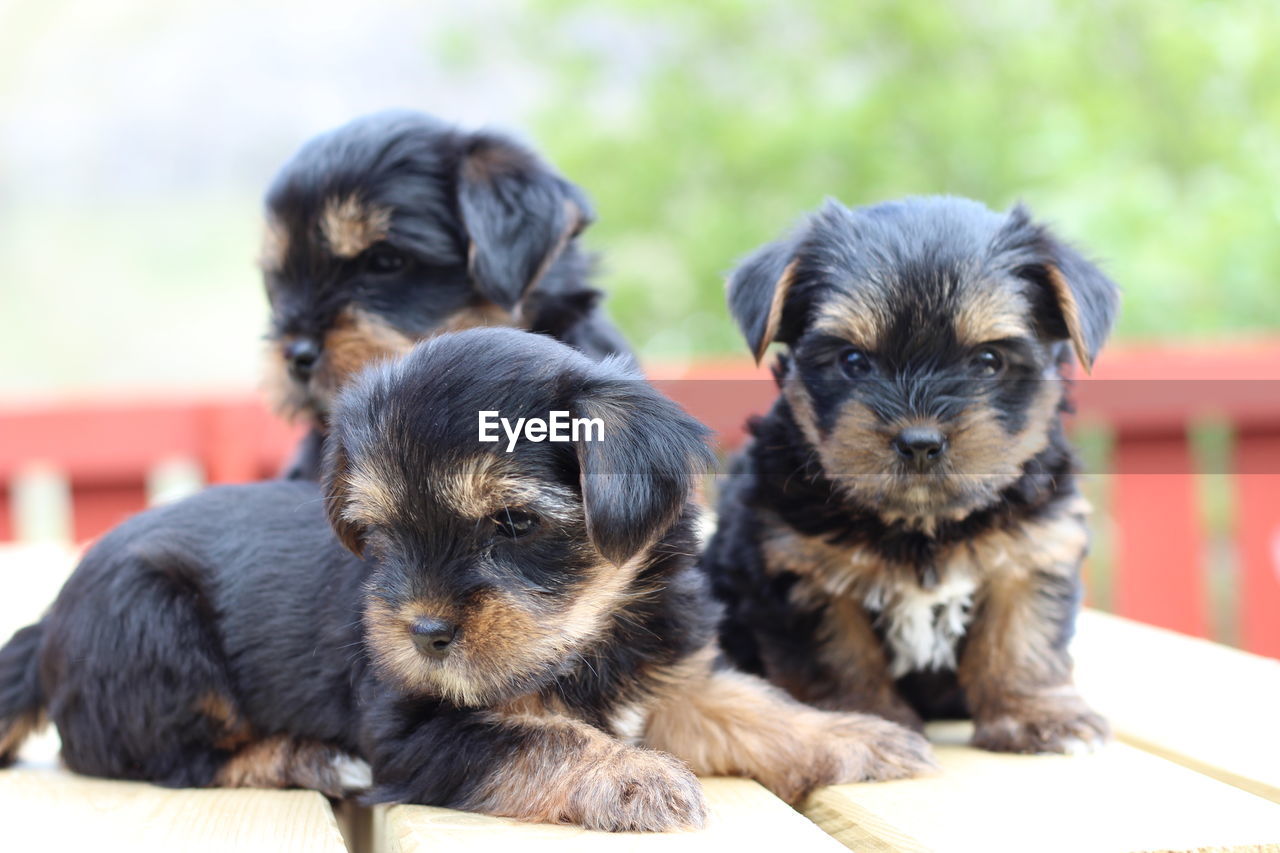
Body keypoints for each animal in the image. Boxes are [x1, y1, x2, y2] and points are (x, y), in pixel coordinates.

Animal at [2, 325, 942, 829]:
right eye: (378, 534)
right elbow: (539, 735)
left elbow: (751, 704)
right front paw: (627, 774)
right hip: (152, 626)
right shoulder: (417, 725)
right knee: (164, 754)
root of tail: (50, 622)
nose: (424, 633)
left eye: (514, 523)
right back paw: (309, 757)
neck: (587, 638)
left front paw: (853, 735)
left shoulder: (671, 678)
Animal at [701, 194, 1121, 753]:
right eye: (853, 361)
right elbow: (839, 651)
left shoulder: (1034, 548)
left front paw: (1036, 713)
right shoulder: (801, 566)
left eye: (989, 360)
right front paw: (864, 717)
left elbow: (1021, 635)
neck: (923, 522)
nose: (919, 442)